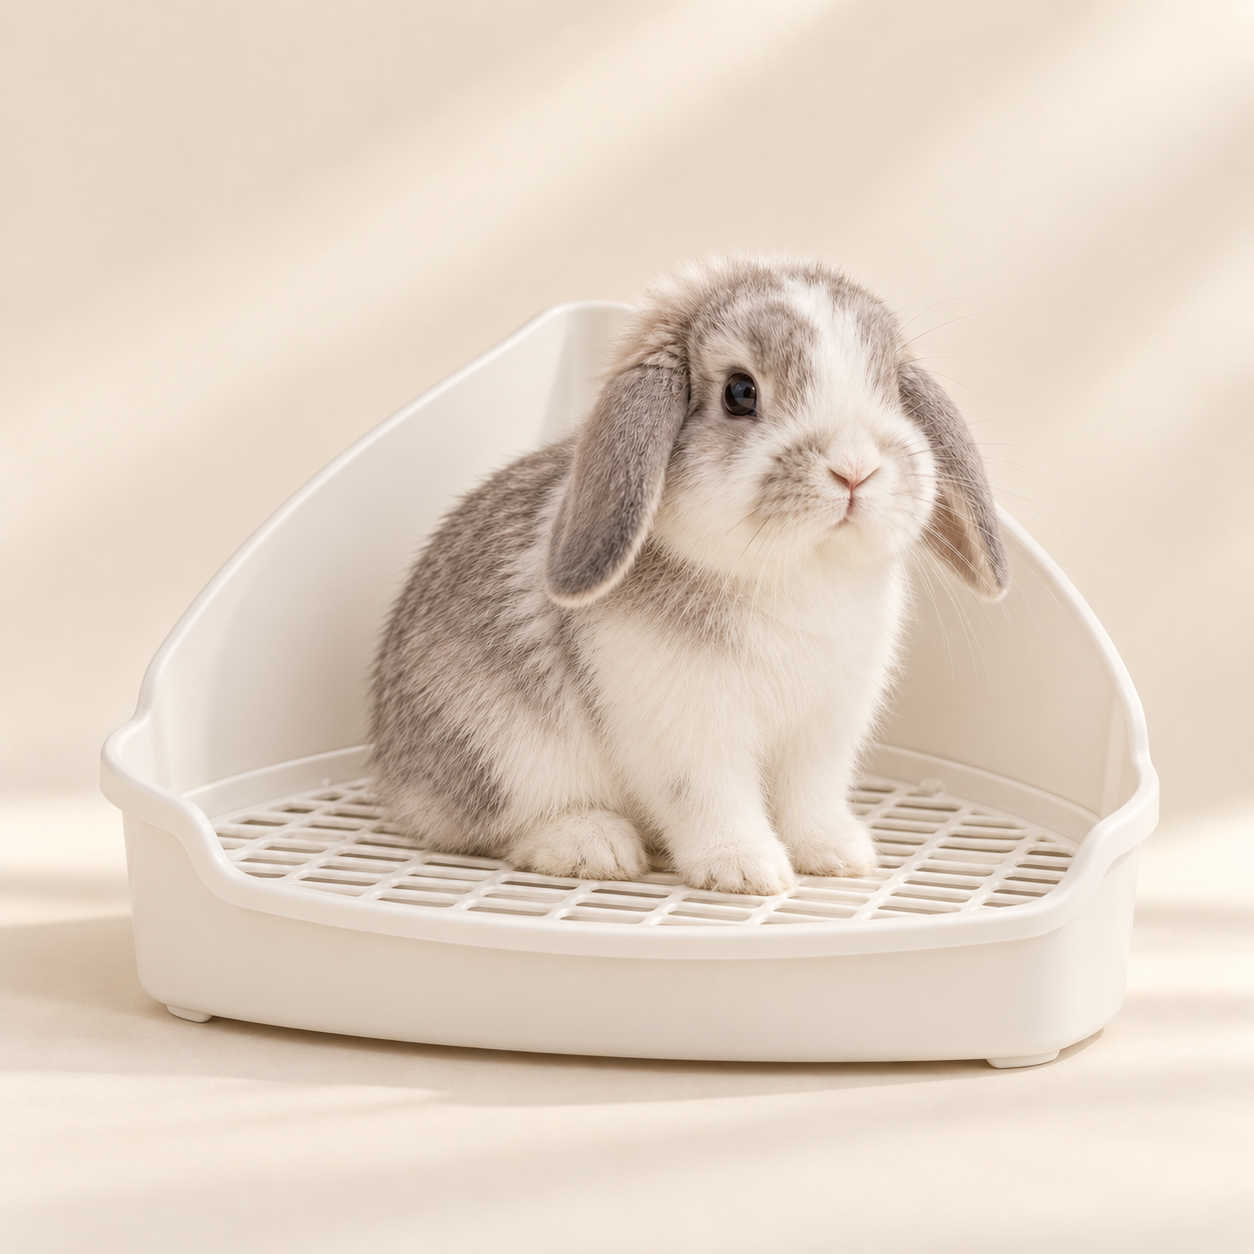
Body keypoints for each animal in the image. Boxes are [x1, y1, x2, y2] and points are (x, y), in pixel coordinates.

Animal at [370, 257, 1008, 897]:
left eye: (891, 388)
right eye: (740, 392)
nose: (856, 470)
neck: (797, 572)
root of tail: (391, 771)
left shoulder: (823, 732)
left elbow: (810, 799)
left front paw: (838, 855)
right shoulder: (689, 736)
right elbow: (711, 800)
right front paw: (747, 870)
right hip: (501, 755)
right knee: (494, 828)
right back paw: (593, 847)